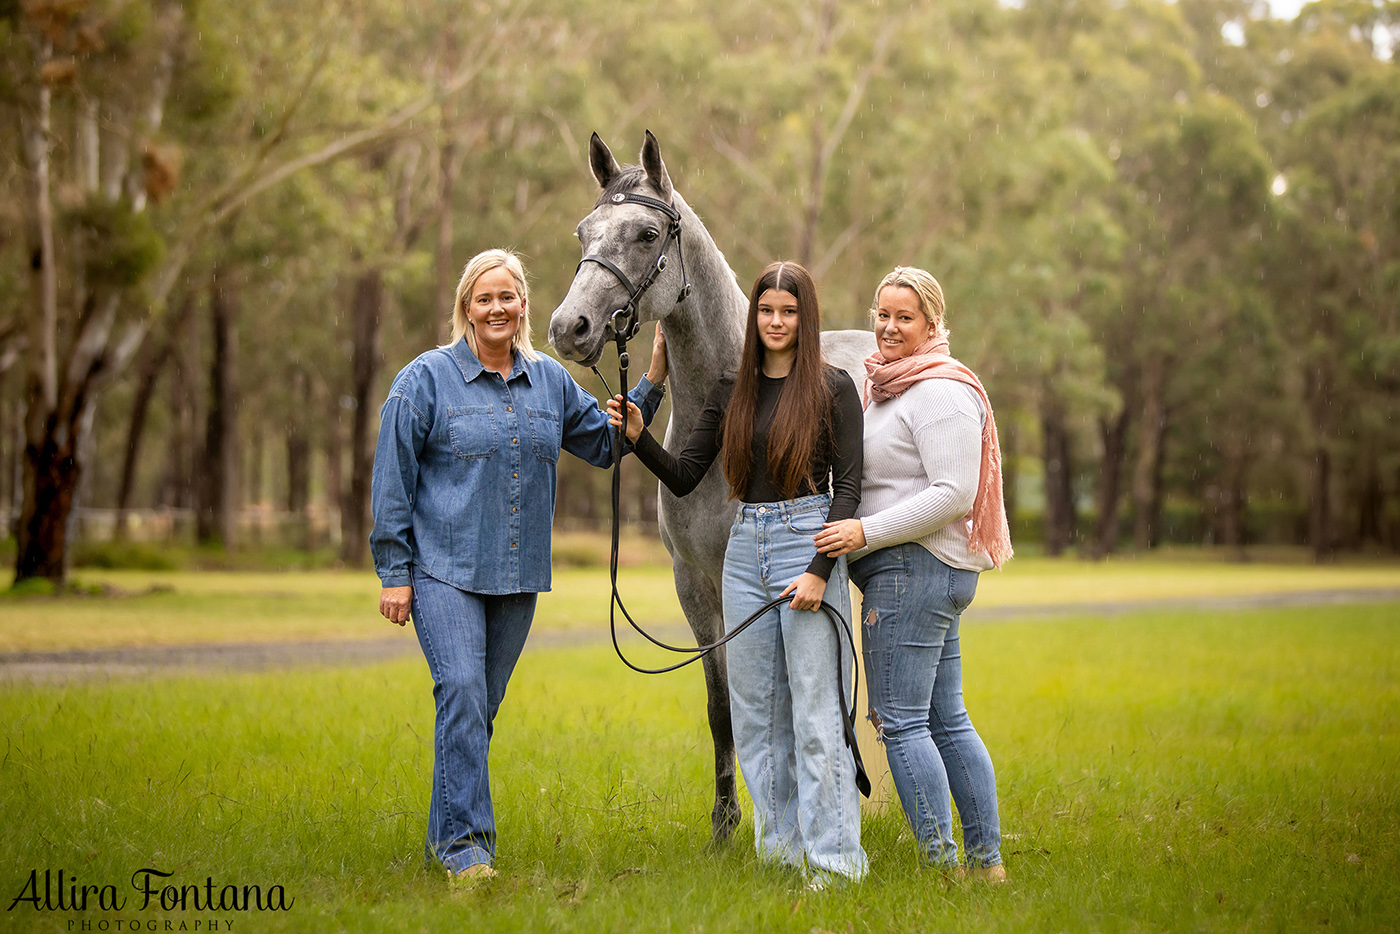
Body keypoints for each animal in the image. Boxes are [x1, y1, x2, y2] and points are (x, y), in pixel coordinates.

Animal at [548, 129, 868, 840]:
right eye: (583, 231)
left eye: (645, 234)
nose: (567, 327)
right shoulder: (695, 585)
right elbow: (722, 705)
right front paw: (725, 825)